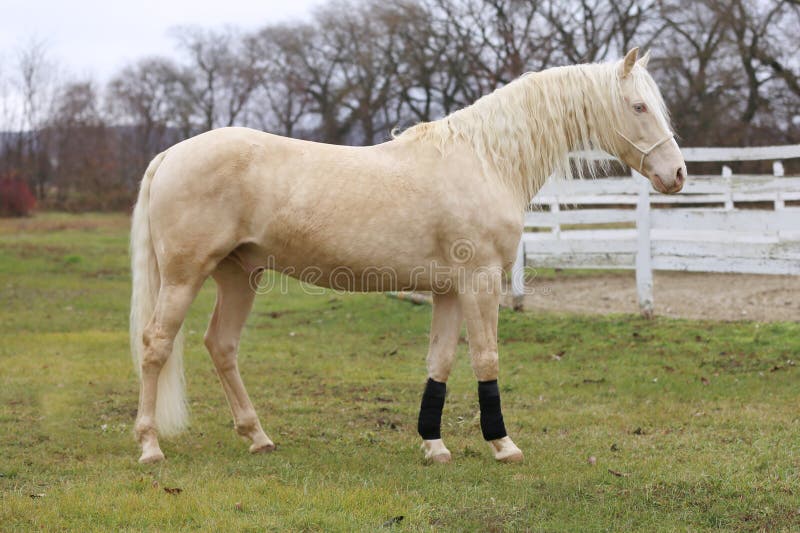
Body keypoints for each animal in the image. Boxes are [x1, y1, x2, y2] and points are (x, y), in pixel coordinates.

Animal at [128, 48, 684, 466]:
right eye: (639, 106)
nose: (676, 174)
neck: (486, 161)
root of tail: (171, 154)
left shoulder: (449, 291)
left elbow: (440, 361)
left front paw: (433, 445)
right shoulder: (480, 282)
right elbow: (486, 357)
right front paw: (503, 444)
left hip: (240, 276)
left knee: (221, 346)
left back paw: (258, 437)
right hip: (184, 276)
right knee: (156, 344)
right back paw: (151, 447)